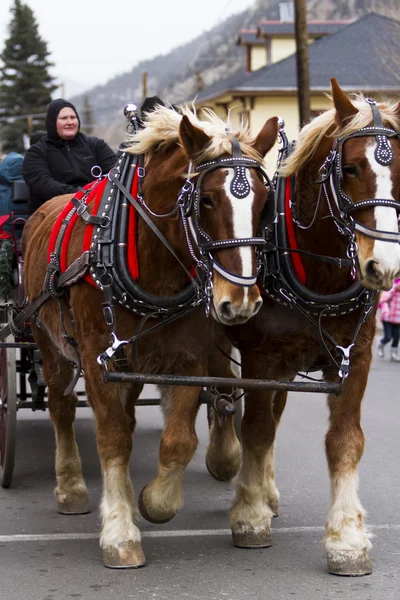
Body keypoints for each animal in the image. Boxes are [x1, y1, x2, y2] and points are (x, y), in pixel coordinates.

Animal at [21, 104, 278, 568]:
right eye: (206, 199)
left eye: (265, 204)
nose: (242, 301)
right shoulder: (96, 357)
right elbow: (112, 437)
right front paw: (120, 532)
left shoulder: (184, 358)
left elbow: (178, 441)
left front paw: (154, 502)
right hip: (48, 343)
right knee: (61, 409)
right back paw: (70, 486)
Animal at [209, 77, 400, 576]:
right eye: (350, 168)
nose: (384, 266)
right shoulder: (261, 356)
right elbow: (256, 430)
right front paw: (249, 516)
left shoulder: (356, 356)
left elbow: (344, 440)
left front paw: (347, 538)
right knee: (224, 403)